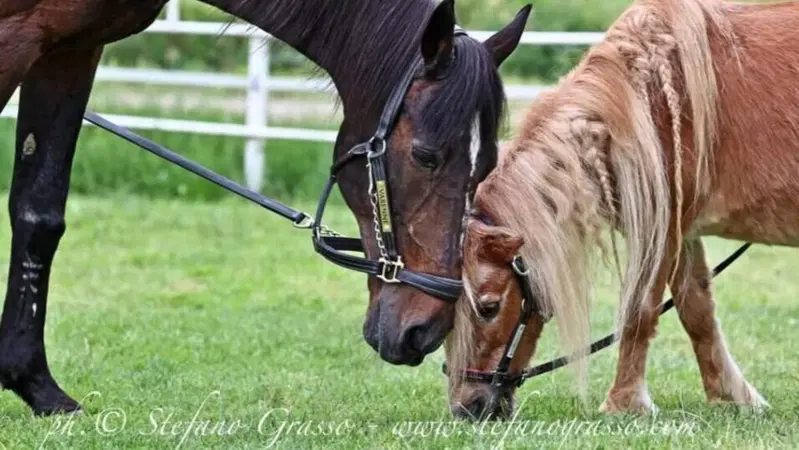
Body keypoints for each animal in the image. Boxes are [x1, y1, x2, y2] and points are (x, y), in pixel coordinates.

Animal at [0, 0, 531, 416]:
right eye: (425, 155)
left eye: (486, 165)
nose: (425, 329)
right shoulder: (17, 35)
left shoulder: (70, 51)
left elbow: (39, 213)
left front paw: (37, 388)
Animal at [443, 0, 799, 420]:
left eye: (489, 307)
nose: (468, 407)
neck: (643, 98)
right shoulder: (683, 230)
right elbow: (697, 312)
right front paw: (730, 396)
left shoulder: (664, 232)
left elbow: (639, 312)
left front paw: (624, 403)